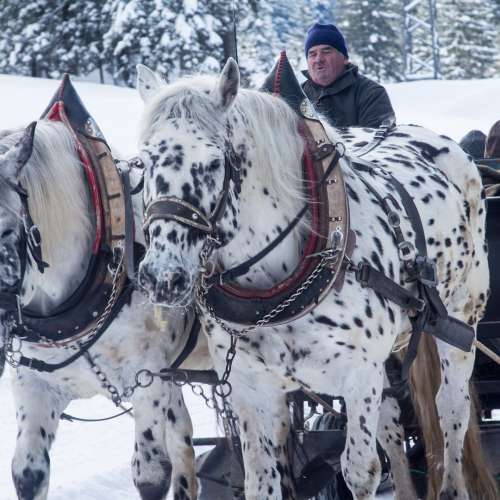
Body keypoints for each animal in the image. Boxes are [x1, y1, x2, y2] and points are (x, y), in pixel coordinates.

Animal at [135, 56, 498, 500]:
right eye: (142, 163)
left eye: (213, 163)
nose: (161, 277)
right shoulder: (251, 388)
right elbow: (261, 482)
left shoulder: (358, 373)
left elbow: (360, 472)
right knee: (391, 422)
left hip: (461, 319)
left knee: (451, 407)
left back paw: (451, 485)